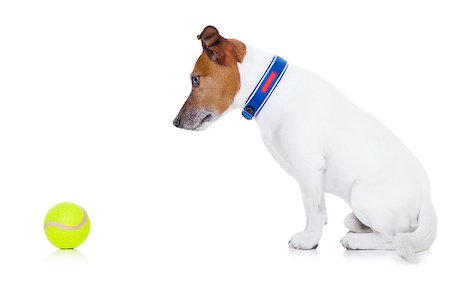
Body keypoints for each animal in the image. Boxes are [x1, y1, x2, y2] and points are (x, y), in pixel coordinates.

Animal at [172, 25, 436, 262]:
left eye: (195, 80)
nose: (175, 122)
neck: (270, 90)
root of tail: (426, 198)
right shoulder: (314, 177)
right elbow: (318, 209)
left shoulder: (308, 169)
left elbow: (310, 209)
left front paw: (310, 240)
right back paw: (358, 227)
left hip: (362, 195)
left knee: (396, 238)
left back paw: (356, 240)